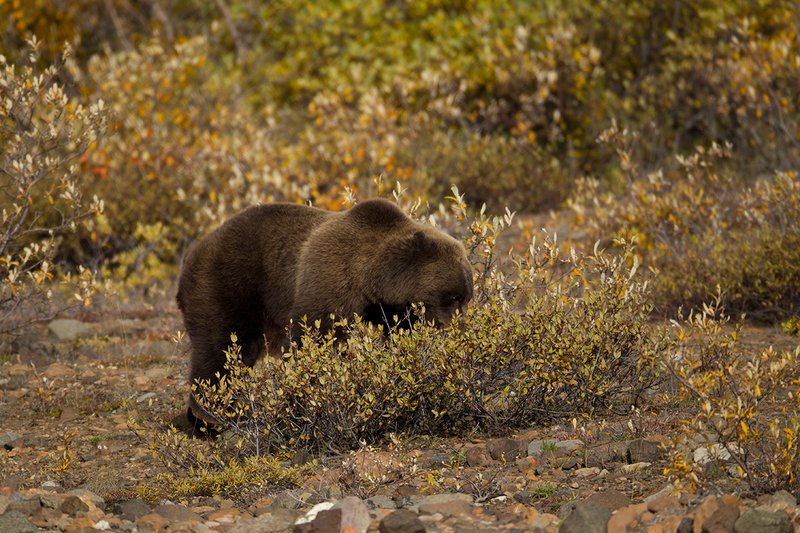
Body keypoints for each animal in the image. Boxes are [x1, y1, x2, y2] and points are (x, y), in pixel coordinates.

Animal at [176, 198, 473, 427]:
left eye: (466, 298)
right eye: (453, 297)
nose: (458, 329)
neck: (369, 278)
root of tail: (190, 257)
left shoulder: (390, 310)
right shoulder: (330, 282)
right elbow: (314, 339)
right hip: (228, 287)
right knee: (222, 349)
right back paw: (213, 416)